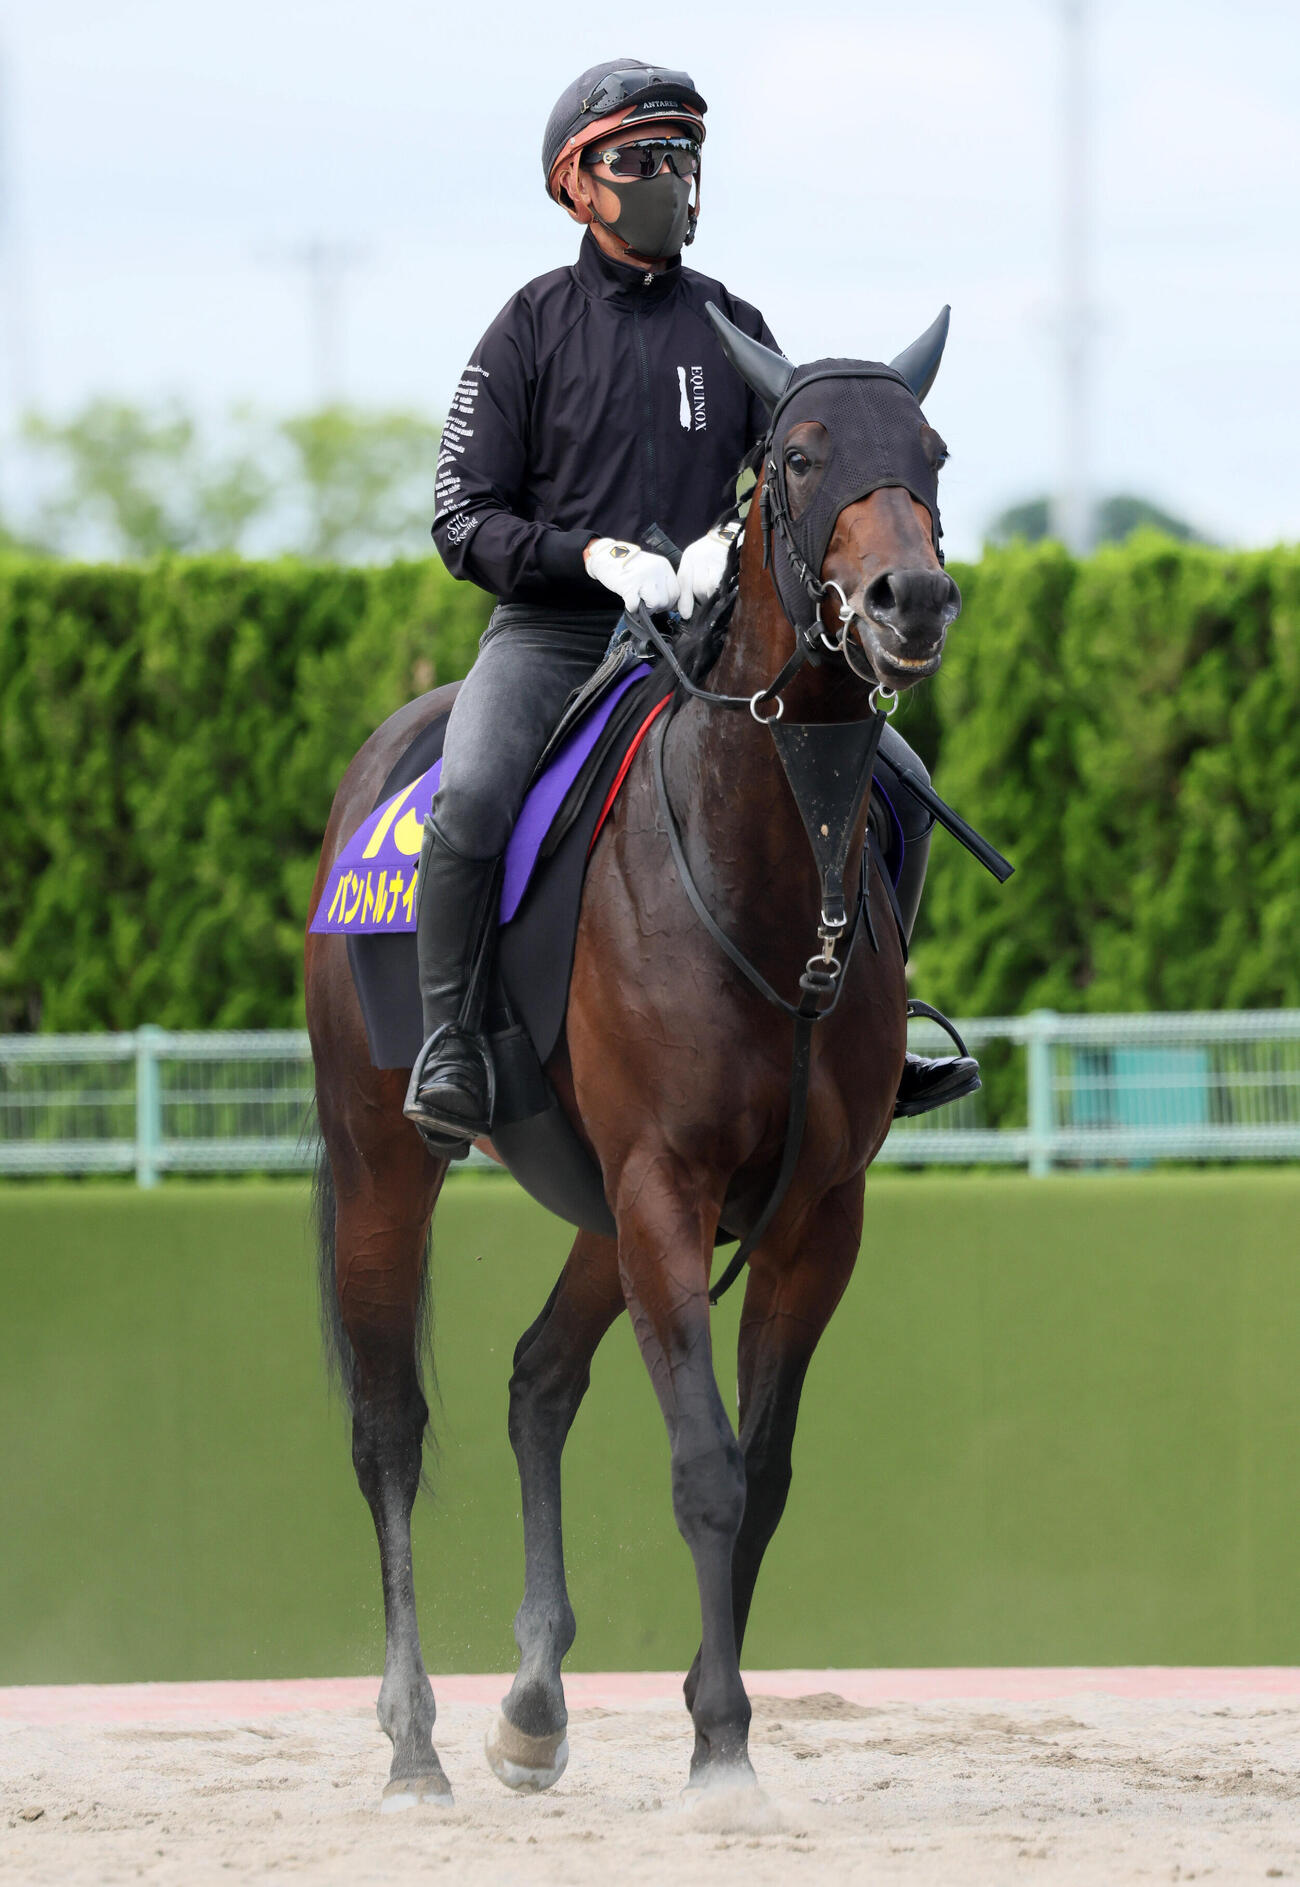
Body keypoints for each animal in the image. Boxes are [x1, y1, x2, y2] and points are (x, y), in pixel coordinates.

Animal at [305, 307, 963, 1807]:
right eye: (799, 455)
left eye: (934, 448)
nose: (909, 598)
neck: (762, 877)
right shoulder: (666, 1182)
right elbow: (705, 1464)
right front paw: (718, 1745)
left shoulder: (809, 1212)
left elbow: (761, 1473)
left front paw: (715, 1722)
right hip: (383, 1164)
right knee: (386, 1427)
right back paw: (413, 1737)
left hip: (601, 1208)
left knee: (538, 1379)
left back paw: (532, 1704)